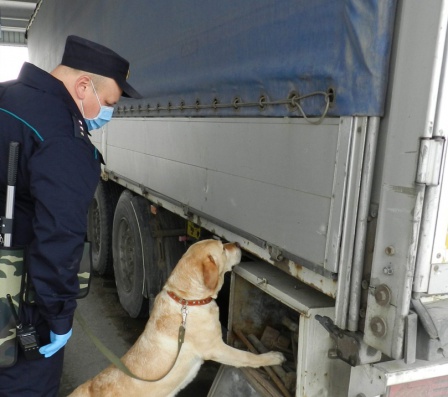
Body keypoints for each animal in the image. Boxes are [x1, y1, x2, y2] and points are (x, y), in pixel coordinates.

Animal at [68, 238, 286, 396]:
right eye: (223, 249)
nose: (239, 244)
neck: (187, 300)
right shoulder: (216, 348)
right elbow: (247, 357)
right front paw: (272, 357)